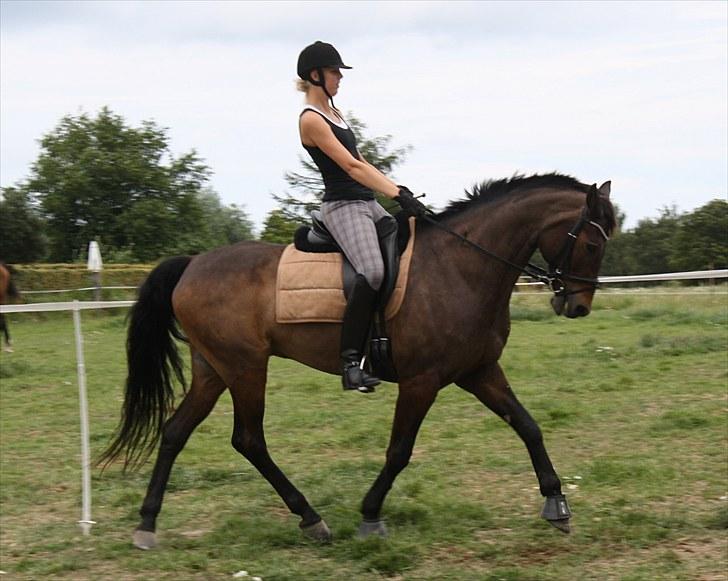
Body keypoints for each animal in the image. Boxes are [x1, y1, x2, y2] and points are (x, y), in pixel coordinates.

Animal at [99, 172, 616, 548]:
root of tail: (192, 263)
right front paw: (370, 516)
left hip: (213, 370)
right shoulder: (422, 380)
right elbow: (400, 450)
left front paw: (556, 504)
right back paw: (311, 519)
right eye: (592, 244)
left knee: (175, 432)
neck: (460, 265)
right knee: (248, 440)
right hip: (245, 367)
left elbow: (528, 426)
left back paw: (147, 524)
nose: (577, 306)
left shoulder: (478, 372)